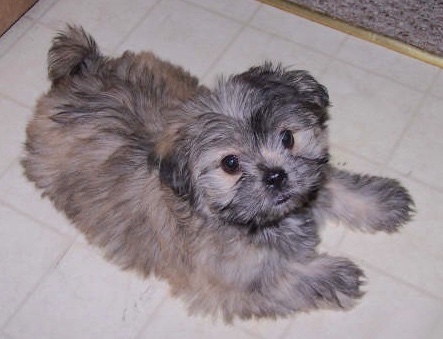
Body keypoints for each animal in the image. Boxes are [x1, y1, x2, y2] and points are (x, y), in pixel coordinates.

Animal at [22, 25, 414, 322]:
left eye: (287, 137)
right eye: (230, 164)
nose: (276, 176)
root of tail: (82, 72)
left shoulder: (308, 179)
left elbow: (334, 184)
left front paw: (383, 202)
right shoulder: (227, 283)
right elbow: (282, 278)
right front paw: (335, 273)